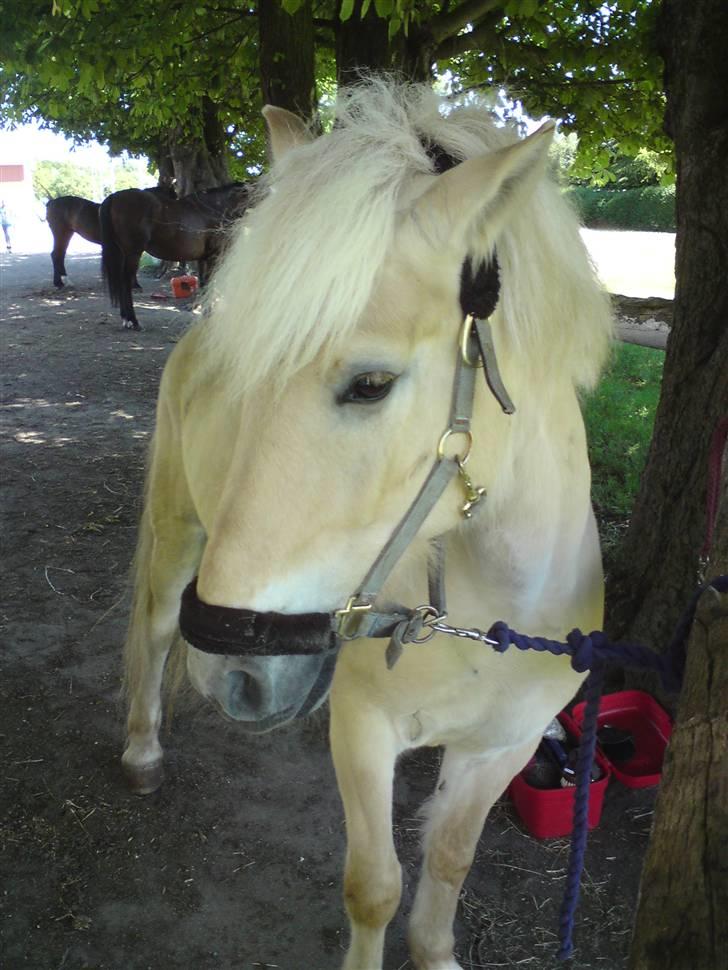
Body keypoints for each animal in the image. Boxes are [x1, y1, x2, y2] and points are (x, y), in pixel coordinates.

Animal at [100, 183, 250, 329]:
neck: (215, 208)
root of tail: (114, 197)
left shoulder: (203, 259)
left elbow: (204, 284)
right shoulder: (214, 256)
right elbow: (209, 285)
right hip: (133, 253)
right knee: (125, 283)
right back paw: (132, 321)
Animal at [121, 79, 613, 969]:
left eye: (371, 384)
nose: (233, 671)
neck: (491, 613)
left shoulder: (502, 748)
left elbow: (448, 864)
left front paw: (439, 951)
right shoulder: (363, 732)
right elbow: (375, 888)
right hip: (179, 535)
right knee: (154, 629)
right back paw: (142, 751)